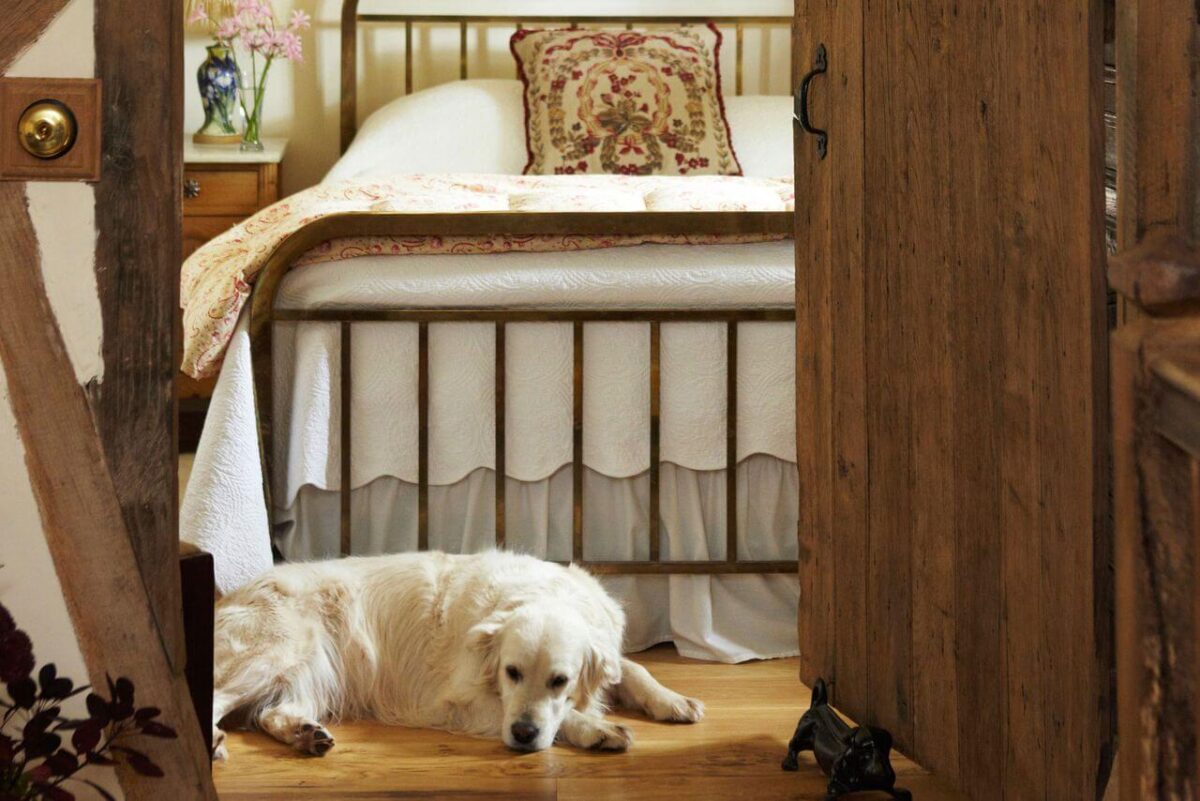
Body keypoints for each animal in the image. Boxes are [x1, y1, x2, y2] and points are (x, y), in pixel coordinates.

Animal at [213, 551, 700, 757]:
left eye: (559, 680)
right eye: (511, 672)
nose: (523, 735)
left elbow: (632, 669)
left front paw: (673, 700)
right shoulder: (459, 701)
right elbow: (560, 716)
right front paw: (596, 728)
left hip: (313, 671)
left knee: (271, 712)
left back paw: (306, 734)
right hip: (281, 648)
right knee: (219, 698)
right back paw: (217, 743)